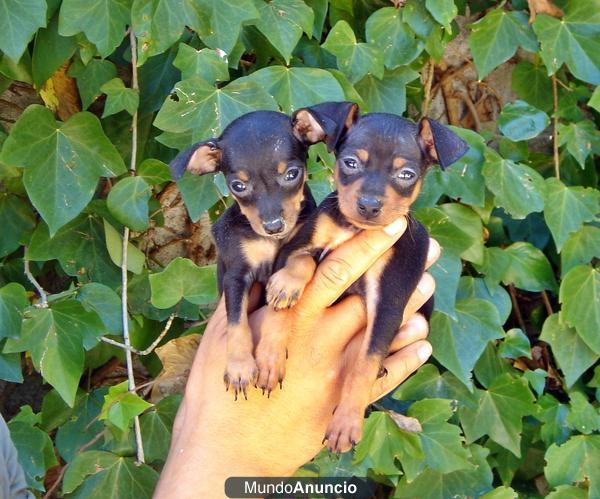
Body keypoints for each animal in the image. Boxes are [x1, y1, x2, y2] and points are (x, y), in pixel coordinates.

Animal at [169, 107, 350, 400]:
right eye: (238, 186)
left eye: (292, 174)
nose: (273, 226)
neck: (272, 243)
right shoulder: (236, 276)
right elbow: (236, 322)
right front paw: (240, 367)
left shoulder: (299, 248)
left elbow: (289, 291)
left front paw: (270, 358)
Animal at [268, 101, 468, 454]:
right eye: (350, 163)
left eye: (406, 175)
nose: (370, 205)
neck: (355, 230)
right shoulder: (297, 246)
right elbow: (301, 263)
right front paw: (285, 288)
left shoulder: (388, 302)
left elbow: (365, 362)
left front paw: (346, 421)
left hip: (416, 326)